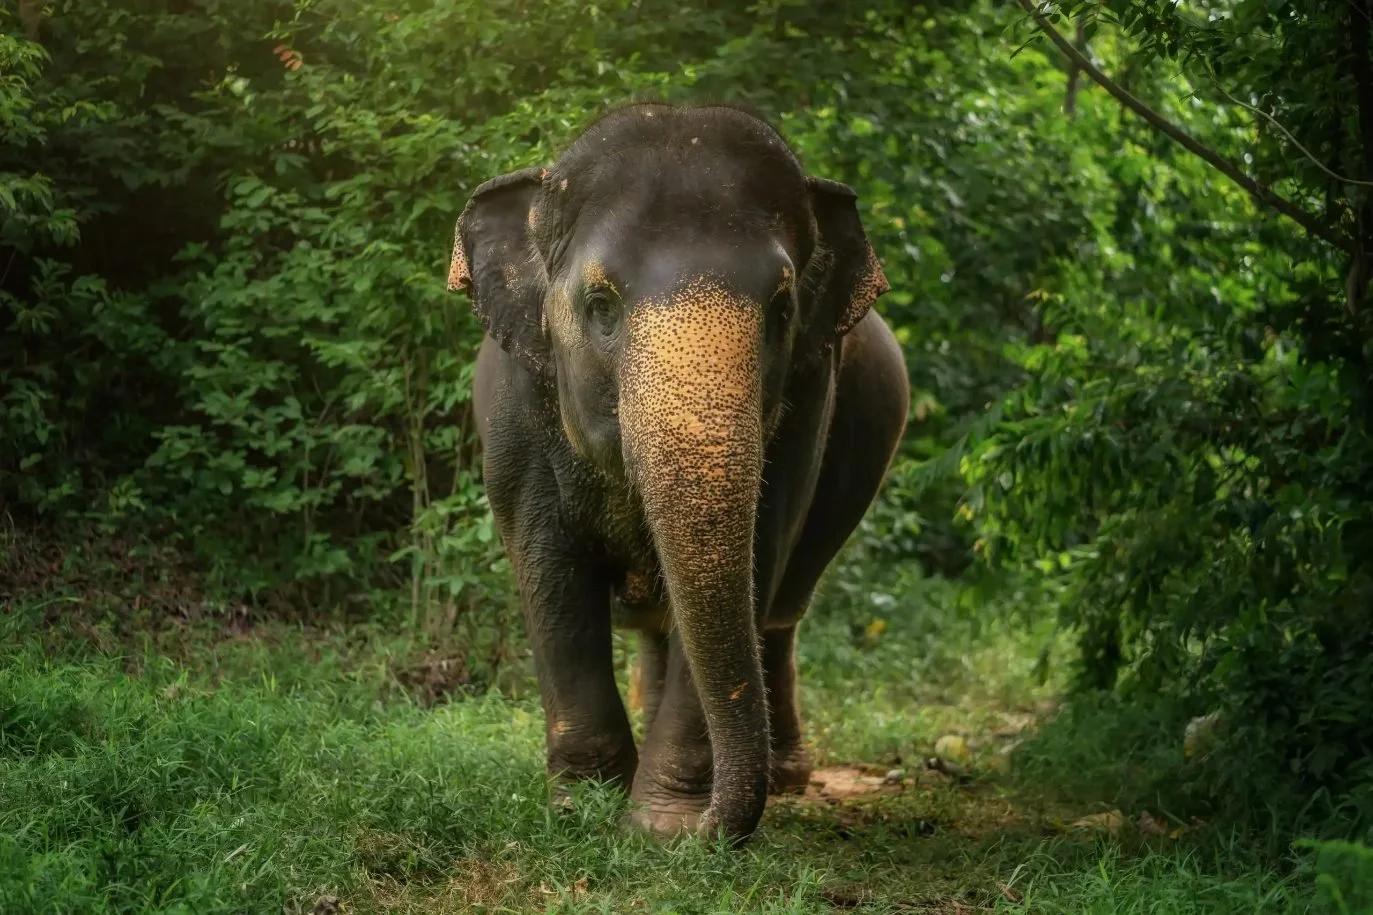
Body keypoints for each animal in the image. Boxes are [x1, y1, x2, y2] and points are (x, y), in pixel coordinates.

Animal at [449, 102, 910, 843]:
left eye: (782, 309)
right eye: (600, 306)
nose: (713, 830)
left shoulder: (808, 403)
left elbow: (757, 558)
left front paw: (663, 826)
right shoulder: (514, 414)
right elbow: (551, 576)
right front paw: (582, 806)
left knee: (778, 612)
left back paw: (784, 776)